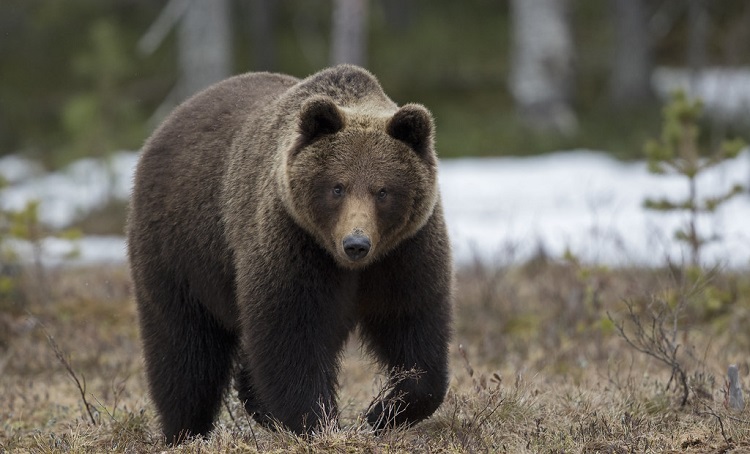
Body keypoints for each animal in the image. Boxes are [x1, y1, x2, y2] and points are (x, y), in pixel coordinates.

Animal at [128, 64, 452, 444]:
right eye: (337, 187)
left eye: (383, 191)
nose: (356, 243)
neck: (348, 265)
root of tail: (170, 120)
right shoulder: (294, 241)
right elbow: (291, 335)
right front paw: (319, 424)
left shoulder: (405, 254)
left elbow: (415, 330)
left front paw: (380, 414)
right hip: (181, 251)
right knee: (185, 350)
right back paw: (185, 430)